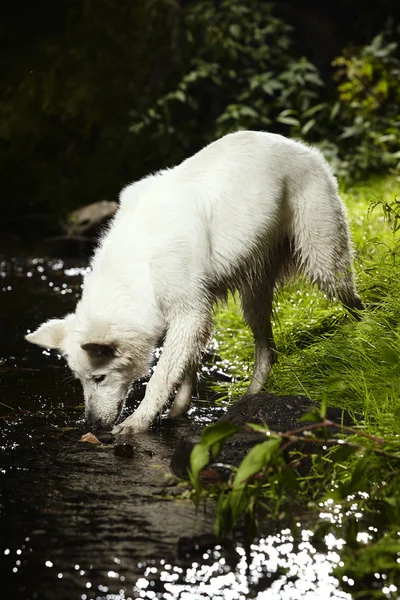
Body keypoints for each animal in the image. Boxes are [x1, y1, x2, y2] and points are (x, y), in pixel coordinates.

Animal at [25, 131, 362, 434]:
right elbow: (186, 368)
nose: (92, 426)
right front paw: (178, 410)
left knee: (353, 301)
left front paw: (139, 422)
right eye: (81, 381)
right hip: (253, 295)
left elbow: (161, 376)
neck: (139, 265)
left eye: (99, 378)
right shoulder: (195, 314)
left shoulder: (190, 313)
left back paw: (365, 332)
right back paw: (250, 397)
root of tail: (303, 147)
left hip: (324, 265)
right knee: (267, 351)